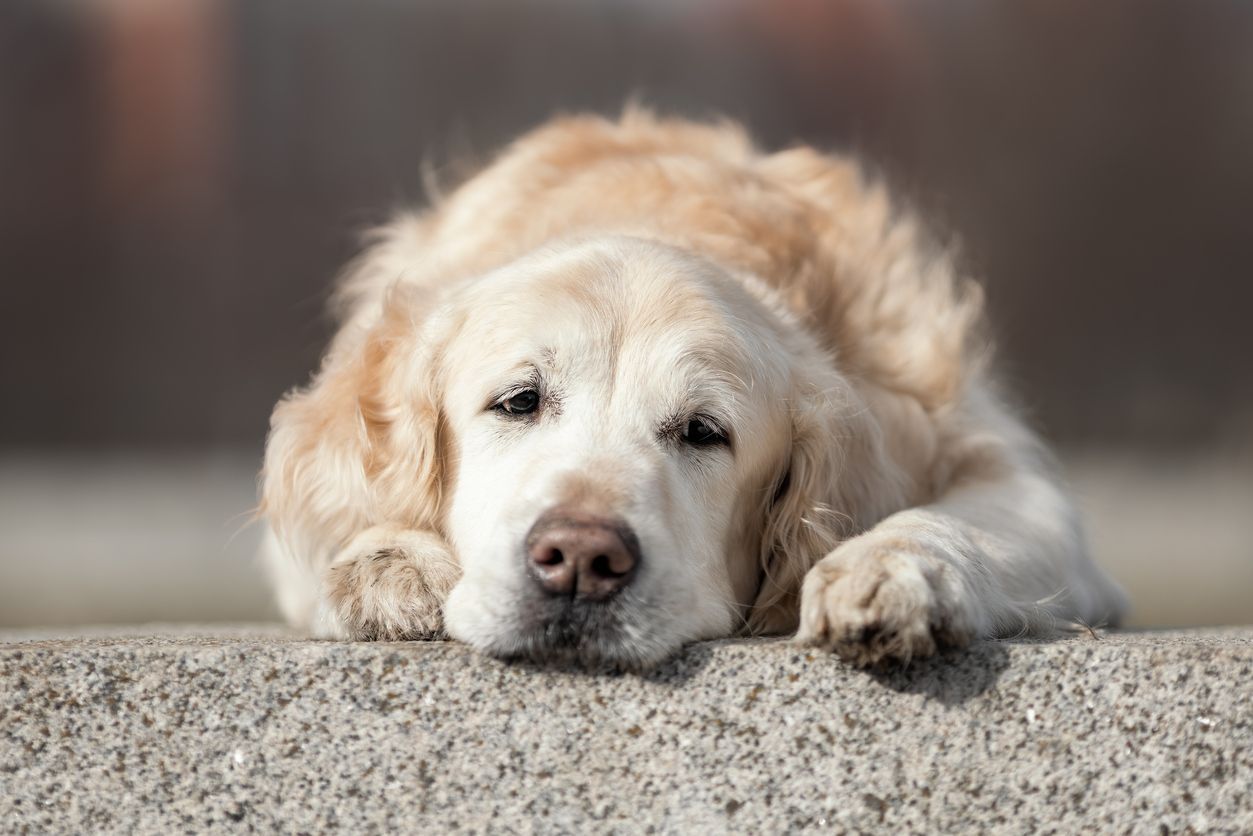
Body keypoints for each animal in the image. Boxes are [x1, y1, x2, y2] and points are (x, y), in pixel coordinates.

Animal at [256, 110, 1127, 671]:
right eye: (518, 401)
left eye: (704, 432)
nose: (580, 560)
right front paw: (388, 563)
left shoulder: (1017, 486)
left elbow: (952, 521)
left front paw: (887, 569)